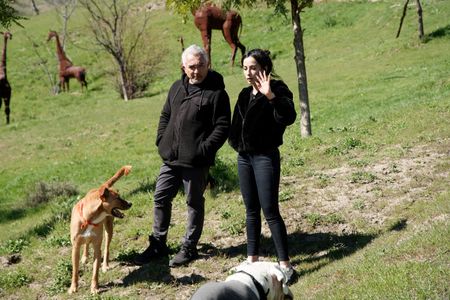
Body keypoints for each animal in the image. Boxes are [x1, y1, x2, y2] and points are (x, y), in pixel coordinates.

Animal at [68, 165, 132, 294]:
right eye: (117, 198)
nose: (130, 203)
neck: (89, 218)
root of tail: (100, 187)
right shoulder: (75, 247)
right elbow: (75, 271)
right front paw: (73, 287)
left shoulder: (97, 246)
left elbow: (95, 271)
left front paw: (94, 288)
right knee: (86, 244)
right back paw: (85, 257)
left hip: (108, 229)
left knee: (106, 248)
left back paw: (105, 265)